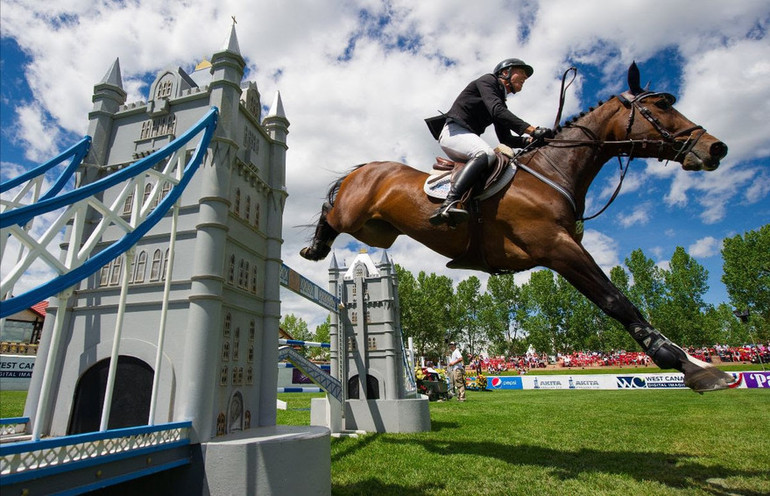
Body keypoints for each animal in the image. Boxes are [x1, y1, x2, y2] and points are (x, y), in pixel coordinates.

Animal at [298, 64, 732, 394]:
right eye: (660, 105)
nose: (715, 148)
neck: (551, 174)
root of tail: (365, 168)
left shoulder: (562, 251)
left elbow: (617, 301)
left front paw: (693, 363)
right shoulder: (558, 248)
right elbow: (615, 301)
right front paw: (686, 363)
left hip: (378, 232)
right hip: (352, 214)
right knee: (329, 212)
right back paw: (314, 248)